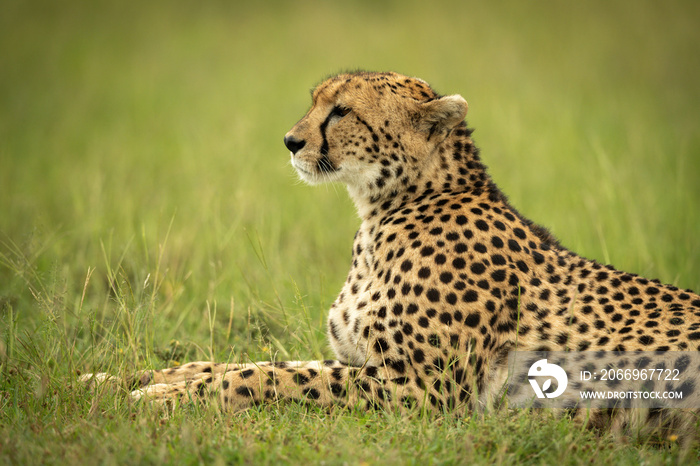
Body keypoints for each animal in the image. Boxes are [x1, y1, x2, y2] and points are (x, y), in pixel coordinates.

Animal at [83, 72, 700, 440]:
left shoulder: (424, 390)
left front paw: (160, 398)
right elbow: (241, 362)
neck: (386, 210)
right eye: (314, 103)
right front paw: (122, 378)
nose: (290, 141)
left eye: (341, 112)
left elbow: (270, 376)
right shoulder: (364, 361)